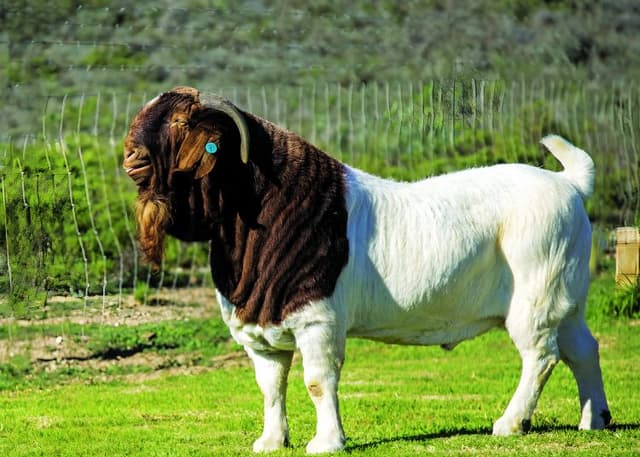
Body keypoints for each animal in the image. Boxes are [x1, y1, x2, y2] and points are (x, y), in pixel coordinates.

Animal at [123, 86, 610, 454]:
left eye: (181, 123)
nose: (130, 157)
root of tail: (568, 183)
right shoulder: (261, 331)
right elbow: (271, 385)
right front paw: (271, 441)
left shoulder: (317, 319)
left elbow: (318, 381)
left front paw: (326, 443)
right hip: (567, 298)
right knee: (583, 348)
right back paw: (595, 419)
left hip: (535, 294)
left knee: (541, 355)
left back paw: (510, 423)